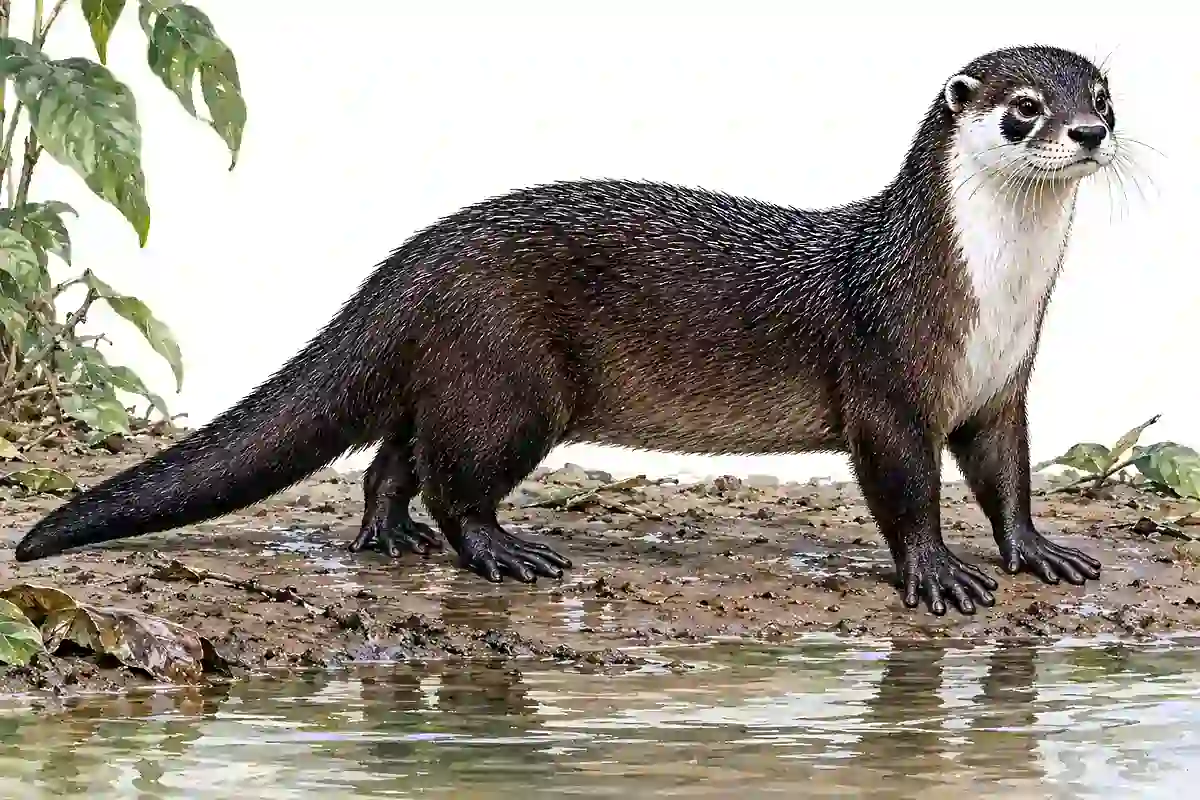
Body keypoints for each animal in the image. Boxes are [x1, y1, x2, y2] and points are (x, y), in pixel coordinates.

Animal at [14, 45, 1117, 616]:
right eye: (1025, 107)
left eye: (1102, 89)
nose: (1090, 130)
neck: (991, 300)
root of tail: (413, 257)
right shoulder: (887, 374)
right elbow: (902, 485)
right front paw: (936, 573)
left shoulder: (1002, 384)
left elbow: (1007, 474)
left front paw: (1038, 550)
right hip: (510, 377)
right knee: (454, 474)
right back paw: (499, 550)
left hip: (461, 365)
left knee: (395, 452)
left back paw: (388, 536)